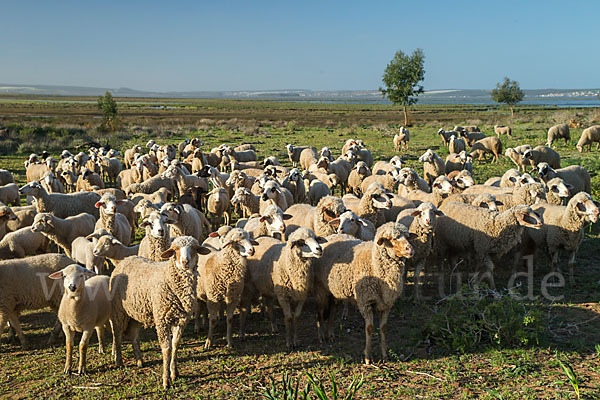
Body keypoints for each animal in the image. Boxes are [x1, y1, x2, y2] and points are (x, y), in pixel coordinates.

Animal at [110, 238, 211, 388]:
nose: (185, 262)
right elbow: (167, 348)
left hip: (137, 311)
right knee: (117, 334)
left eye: (194, 248)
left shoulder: (181, 320)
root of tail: (126, 259)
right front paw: (166, 380)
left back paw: (139, 360)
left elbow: (175, 345)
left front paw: (174, 372)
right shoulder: (162, 319)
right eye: (175, 250)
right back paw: (119, 361)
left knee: (133, 335)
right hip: (118, 310)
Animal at [312, 223, 414, 364]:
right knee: (320, 313)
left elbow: (383, 328)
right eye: (393, 238)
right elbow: (369, 328)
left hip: (334, 291)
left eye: (408, 237)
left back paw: (330, 335)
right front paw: (367, 357)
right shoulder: (366, 302)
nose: (410, 250)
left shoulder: (386, 304)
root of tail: (331, 236)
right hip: (320, 288)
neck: (374, 264)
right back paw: (321, 336)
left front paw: (385, 355)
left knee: (332, 311)